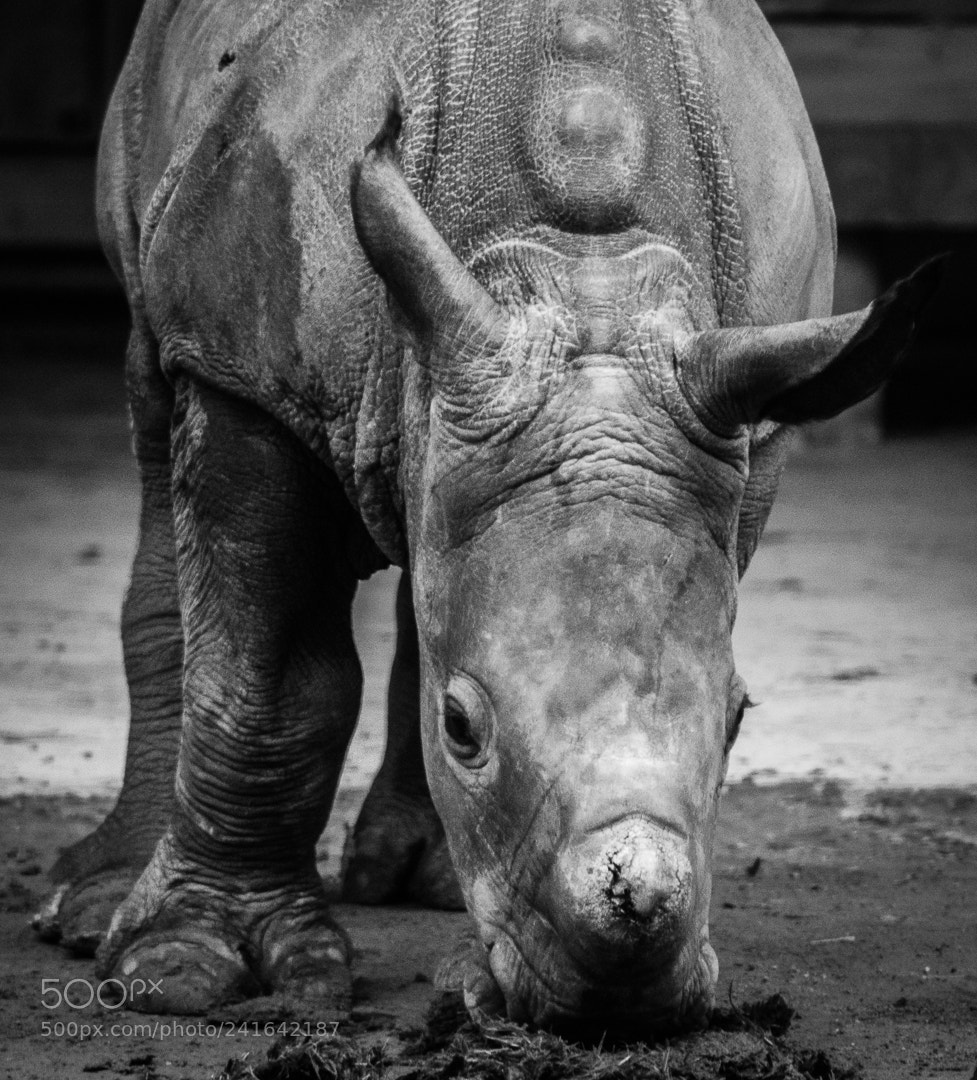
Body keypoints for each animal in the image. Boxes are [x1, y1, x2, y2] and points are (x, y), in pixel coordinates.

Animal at [36, 0, 937, 1037]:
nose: (620, 1002)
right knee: (153, 409)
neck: (580, 272)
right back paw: (93, 912)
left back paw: (418, 883)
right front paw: (191, 972)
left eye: (739, 722)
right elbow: (266, 684)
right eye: (459, 728)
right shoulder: (246, 376)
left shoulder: (741, 419)